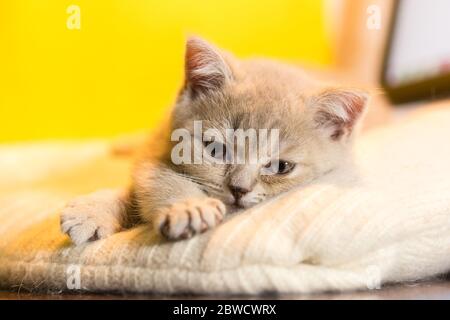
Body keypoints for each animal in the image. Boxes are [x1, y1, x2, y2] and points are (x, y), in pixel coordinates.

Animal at [60, 36, 370, 244]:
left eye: (281, 167)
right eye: (216, 149)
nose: (239, 189)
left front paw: (187, 208)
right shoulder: (157, 148)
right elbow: (148, 177)